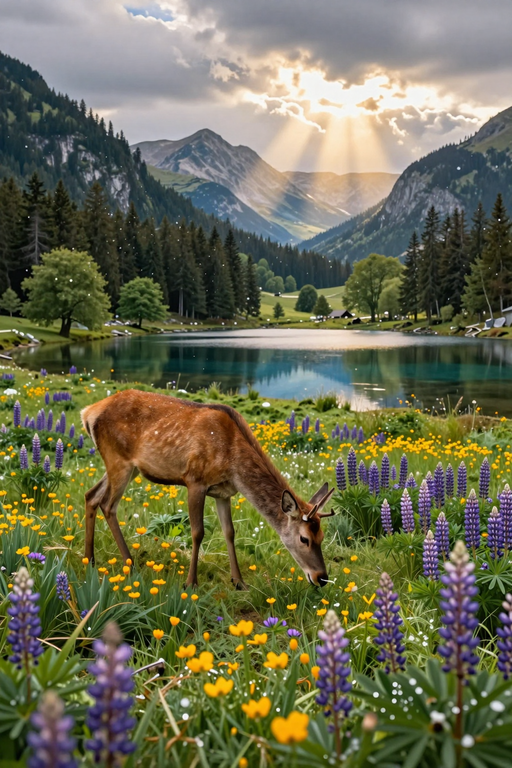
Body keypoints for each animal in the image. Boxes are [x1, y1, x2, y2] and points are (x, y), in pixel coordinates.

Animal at [80, 390, 335, 588]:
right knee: (107, 504)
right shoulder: (195, 480)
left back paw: (89, 560)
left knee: (91, 495)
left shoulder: (223, 493)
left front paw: (239, 581)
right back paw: (129, 564)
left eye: (322, 536)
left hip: (126, 467)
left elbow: (229, 532)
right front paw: (191, 582)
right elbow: (197, 532)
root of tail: (88, 412)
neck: (233, 465)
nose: (322, 578)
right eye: (304, 539)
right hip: (118, 460)